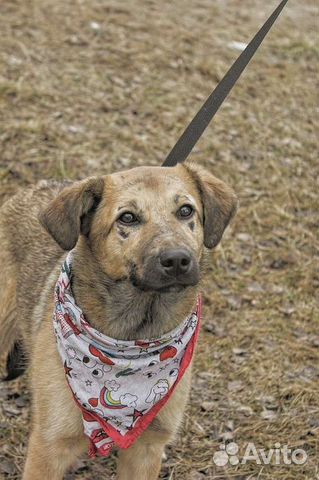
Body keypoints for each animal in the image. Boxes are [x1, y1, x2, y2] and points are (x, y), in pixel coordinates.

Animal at [0, 163, 238, 478]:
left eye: (186, 211)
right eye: (128, 217)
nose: (177, 260)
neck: (134, 337)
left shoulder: (147, 448)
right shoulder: (49, 448)